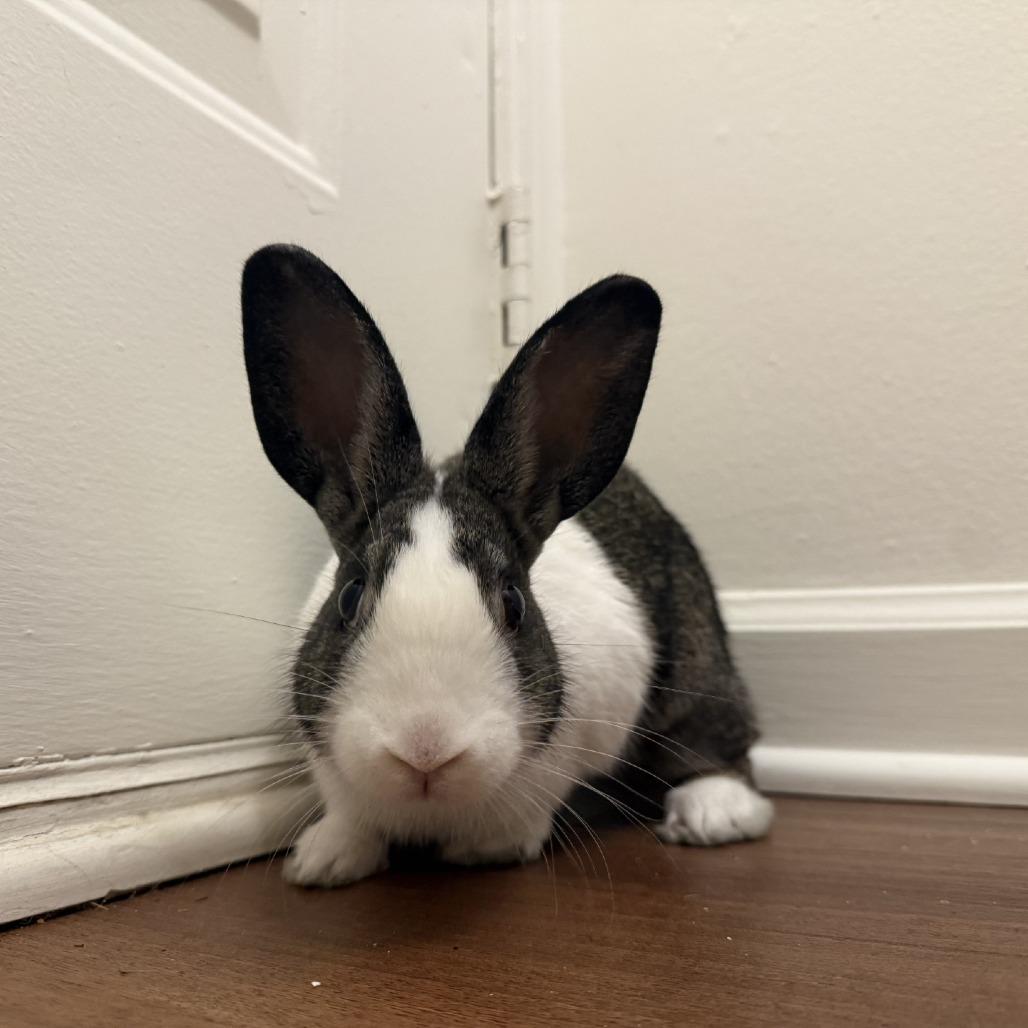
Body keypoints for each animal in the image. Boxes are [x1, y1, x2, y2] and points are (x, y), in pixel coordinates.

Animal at [240, 244, 773, 887]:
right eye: (349, 598)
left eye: (513, 605)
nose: (425, 750)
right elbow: (349, 816)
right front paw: (323, 861)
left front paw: (485, 847)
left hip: (697, 668)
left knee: (718, 743)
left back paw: (714, 813)